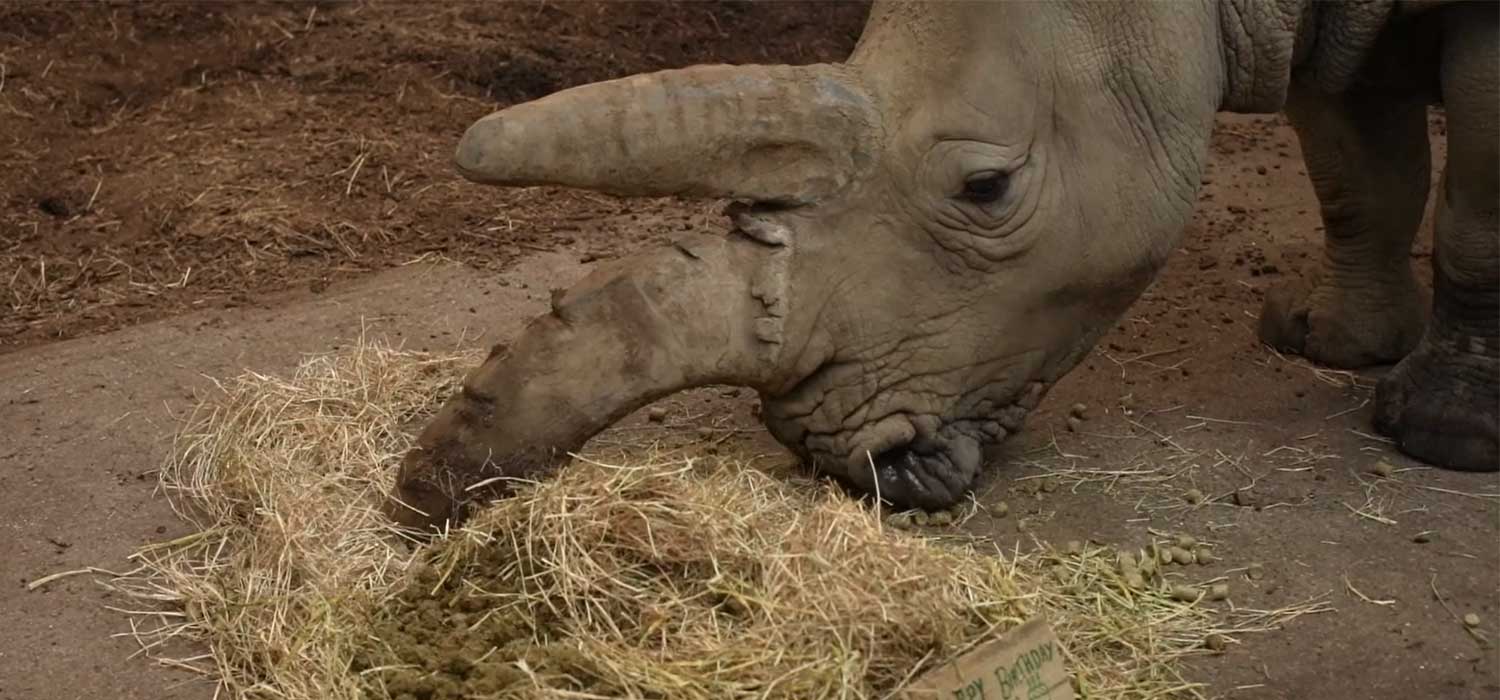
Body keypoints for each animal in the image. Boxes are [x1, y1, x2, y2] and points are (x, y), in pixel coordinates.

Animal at [384, 0, 1488, 530]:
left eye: (988, 189)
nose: (840, 459)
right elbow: (1355, 155)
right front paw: (1328, 344)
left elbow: (1476, 209)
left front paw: (1443, 436)